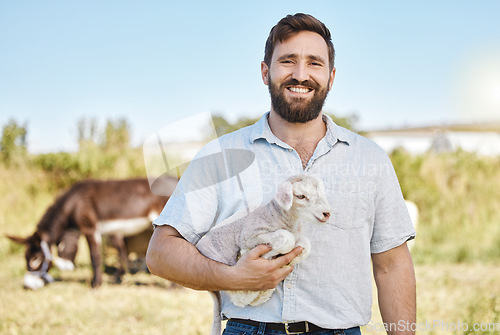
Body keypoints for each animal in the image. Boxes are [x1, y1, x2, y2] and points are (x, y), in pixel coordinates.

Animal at [196, 175, 332, 335]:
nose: (327, 213)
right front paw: (267, 255)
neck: (279, 217)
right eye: (301, 196)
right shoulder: (250, 235)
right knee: (239, 298)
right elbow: (287, 239)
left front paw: (288, 260)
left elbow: (305, 245)